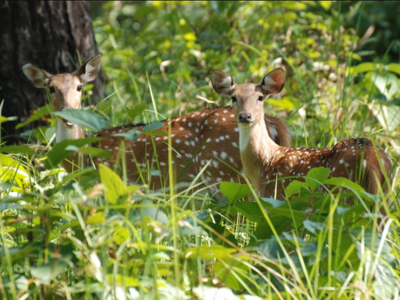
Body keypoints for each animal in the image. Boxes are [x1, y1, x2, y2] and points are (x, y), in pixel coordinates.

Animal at [21, 54, 290, 195]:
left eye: (79, 87)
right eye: (51, 88)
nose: (68, 114)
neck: (81, 158)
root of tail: (272, 122)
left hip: (227, 176)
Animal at [212, 68, 394, 199]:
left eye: (260, 97)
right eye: (234, 98)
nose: (245, 116)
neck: (266, 163)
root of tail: (372, 159)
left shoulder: (277, 200)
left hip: (342, 193)